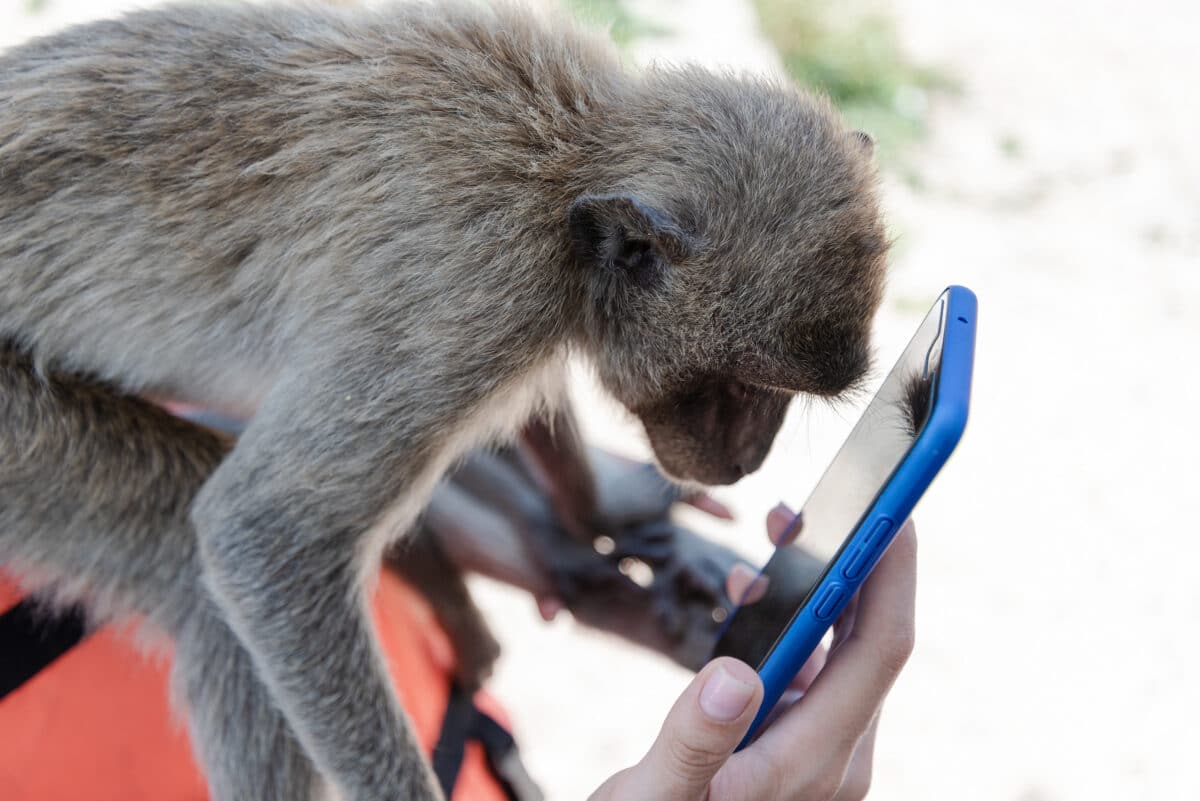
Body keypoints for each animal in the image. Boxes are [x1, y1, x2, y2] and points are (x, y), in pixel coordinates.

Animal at [0, 2, 887, 799]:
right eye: (741, 389)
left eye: (770, 398)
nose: (746, 458)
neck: (575, 157)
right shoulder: (477, 293)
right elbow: (264, 532)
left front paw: (603, 505)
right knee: (191, 555)